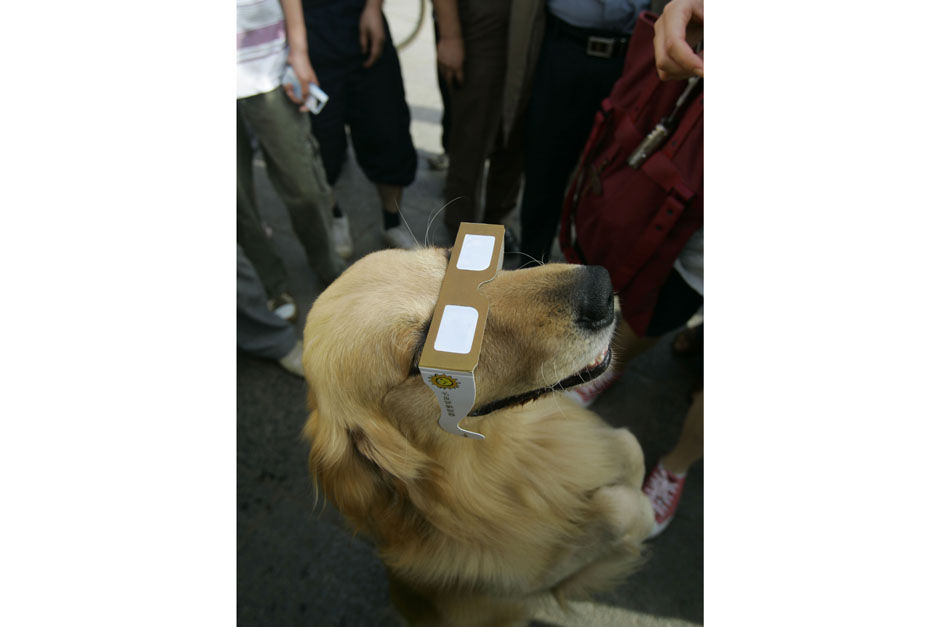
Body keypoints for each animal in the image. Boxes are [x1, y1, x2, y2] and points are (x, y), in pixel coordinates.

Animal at [301, 246, 653, 627]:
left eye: (449, 255)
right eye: (420, 355)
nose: (600, 288)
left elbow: (630, 447)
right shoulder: (524, 583)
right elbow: (623, 506)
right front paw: (645, 512)